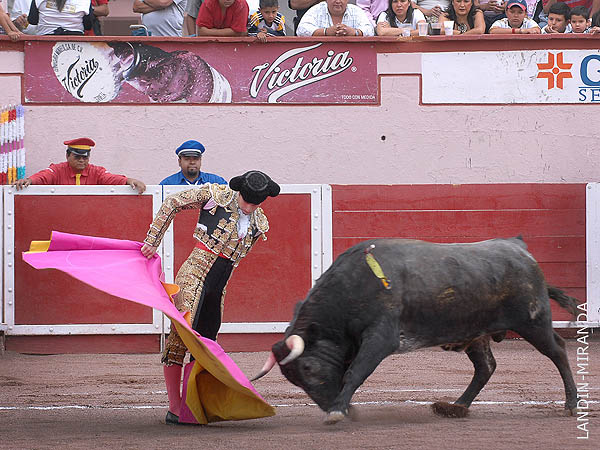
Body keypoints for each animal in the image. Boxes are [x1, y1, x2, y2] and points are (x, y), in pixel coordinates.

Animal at [254, 237, 580, 424]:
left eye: (308, 368)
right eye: (293, 379)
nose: (326, 405)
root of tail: (521, 250)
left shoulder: (380, 338)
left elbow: (355, 372)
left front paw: (337, 411)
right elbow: (349, 372)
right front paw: (341, 408)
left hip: (533, 322)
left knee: (558, 352)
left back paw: (571, 404)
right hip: (475, 333)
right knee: (486, 366)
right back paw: (456, 407)